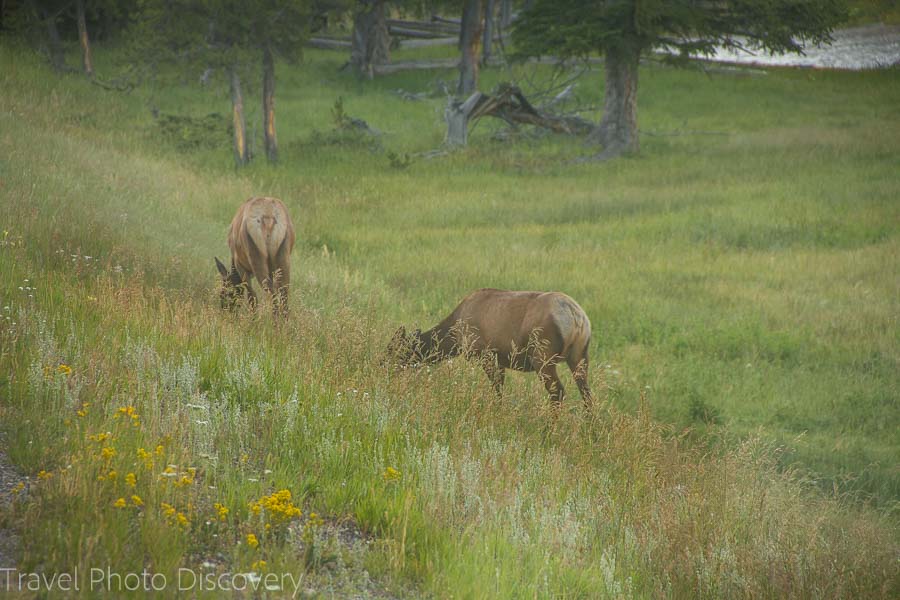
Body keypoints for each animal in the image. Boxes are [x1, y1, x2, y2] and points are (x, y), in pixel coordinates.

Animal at [384, 290, 592, 408]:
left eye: (392, 350)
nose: (380, 366)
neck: (454, 338)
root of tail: (577, 318)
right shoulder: (500, 359)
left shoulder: (485, 354)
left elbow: (497, 389)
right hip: (580, 356)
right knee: (587, 394)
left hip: (543, 357)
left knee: (558, 393)